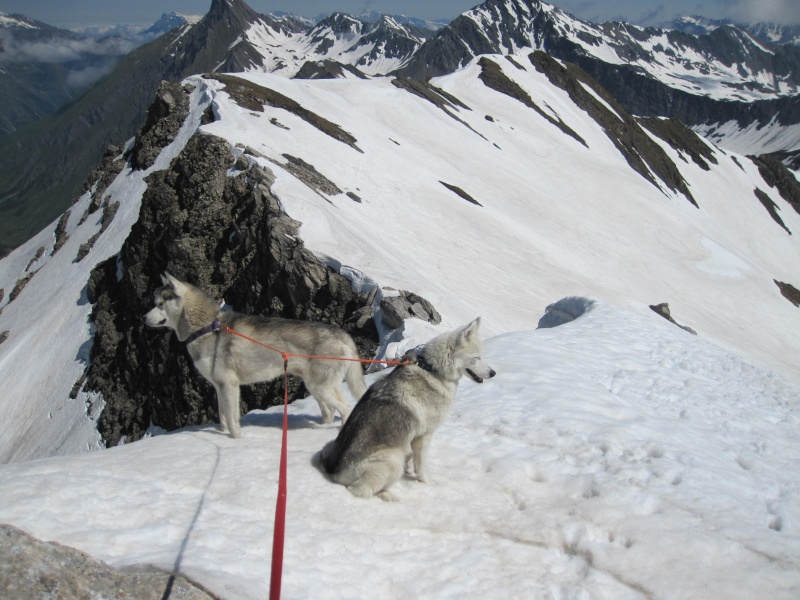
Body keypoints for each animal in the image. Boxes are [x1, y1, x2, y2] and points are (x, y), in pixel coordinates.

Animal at [144, 274, 368, 436]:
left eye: (160, 304)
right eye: (154, 302)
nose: (143, 318)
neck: (207, 328)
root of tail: (342, 333)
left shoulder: (229, 384)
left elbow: (232, 418)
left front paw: (236, 439)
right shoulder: (219, 386)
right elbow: (223, 416)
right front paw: (223, 435)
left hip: (319, 386)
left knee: (346, 408)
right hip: (320, 386)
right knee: (332, 410)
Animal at [320, 318, 494, 502]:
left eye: (482, 356)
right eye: (477, 358)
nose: (493, 373)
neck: (433, 370)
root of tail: (334, 471)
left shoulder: (413, 437)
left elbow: (411, 459)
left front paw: (410, 471)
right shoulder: (424, 436)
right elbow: (421, 466)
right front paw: (427, 484)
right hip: (392, 460)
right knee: (359, 490)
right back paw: (389, 496)